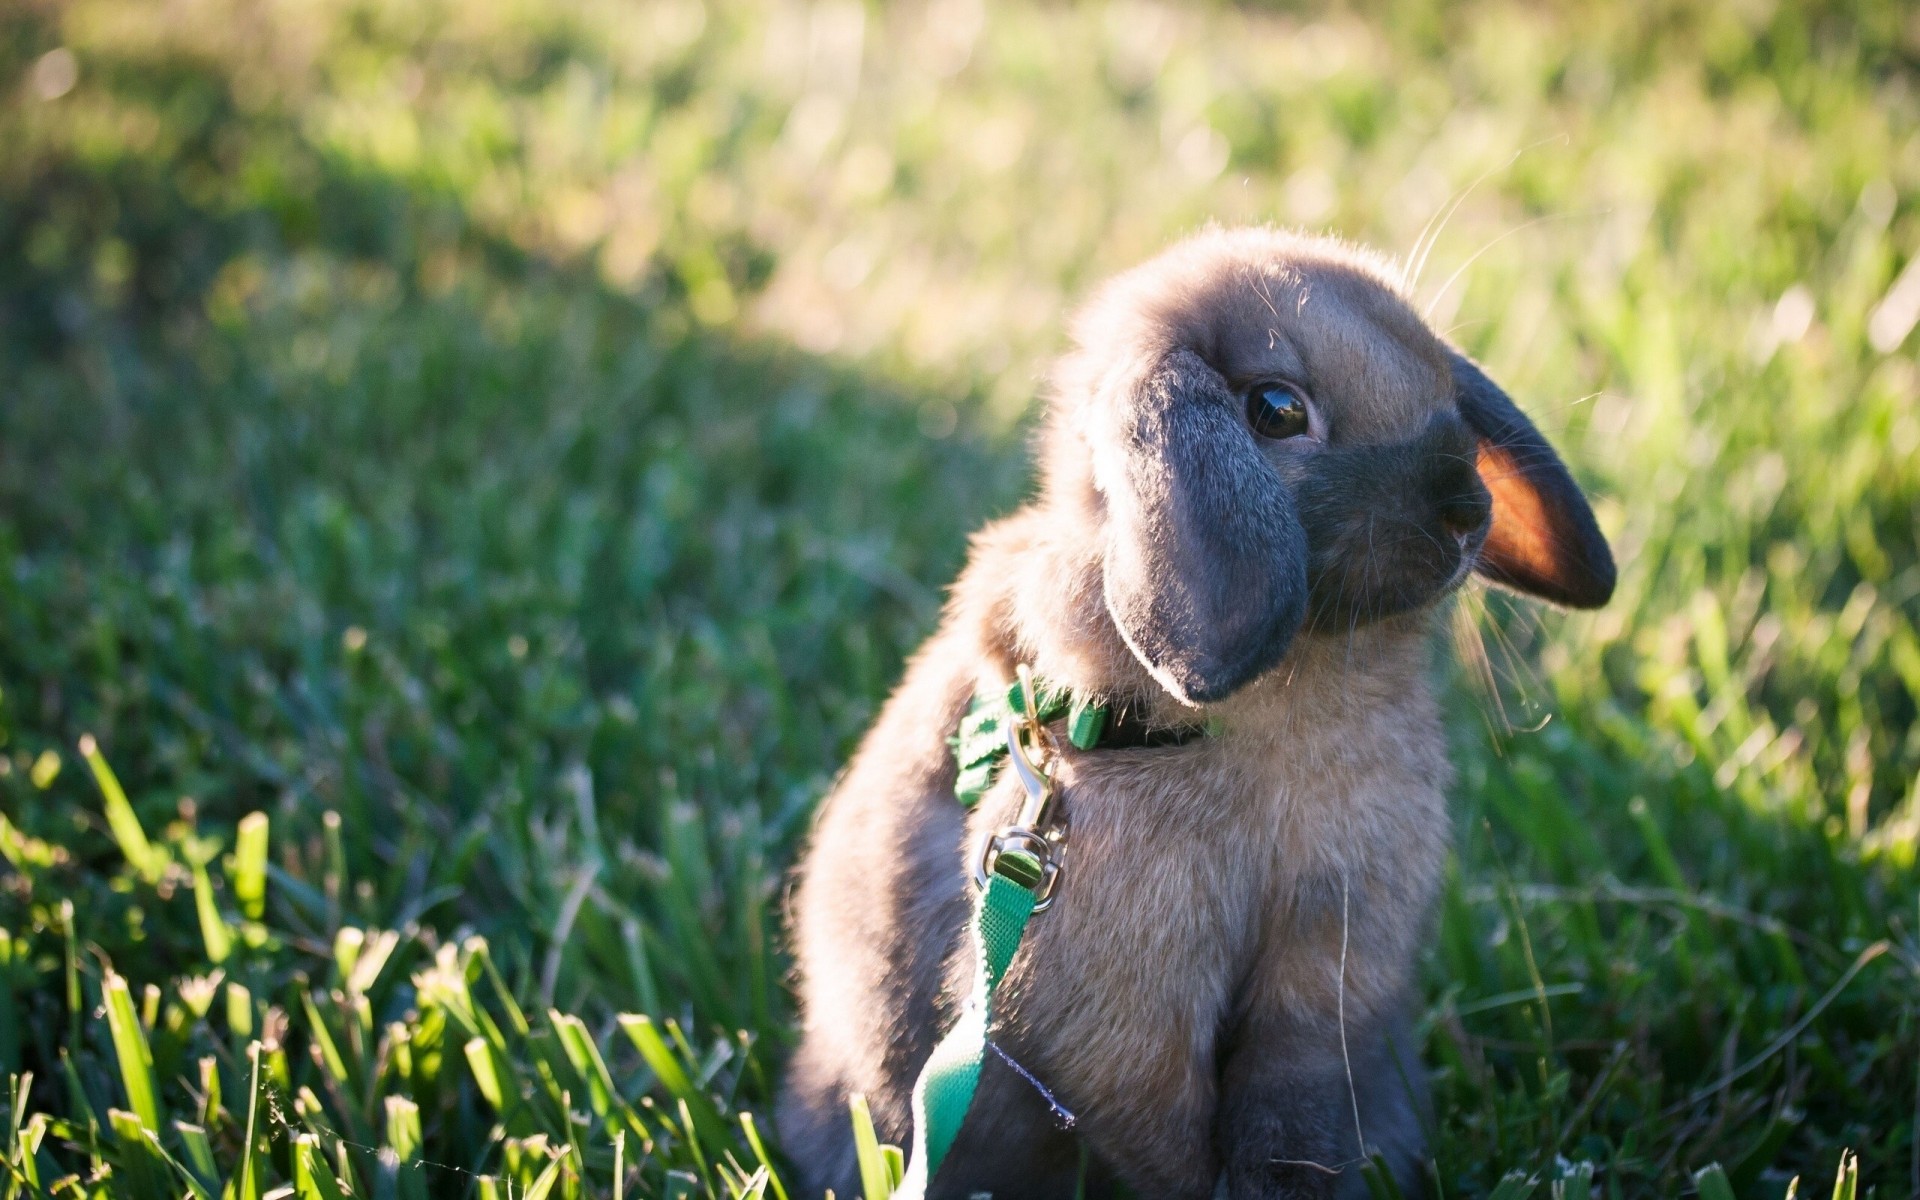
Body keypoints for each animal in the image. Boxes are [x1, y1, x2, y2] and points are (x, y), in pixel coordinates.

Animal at [776, 227, 1614, 1199]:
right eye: (1276, 410)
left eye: (1444, 381)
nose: (1468, 513)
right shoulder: (1117, 1005)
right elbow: (1168, 1130)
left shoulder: (1327, 962)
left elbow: (1295, 1106)